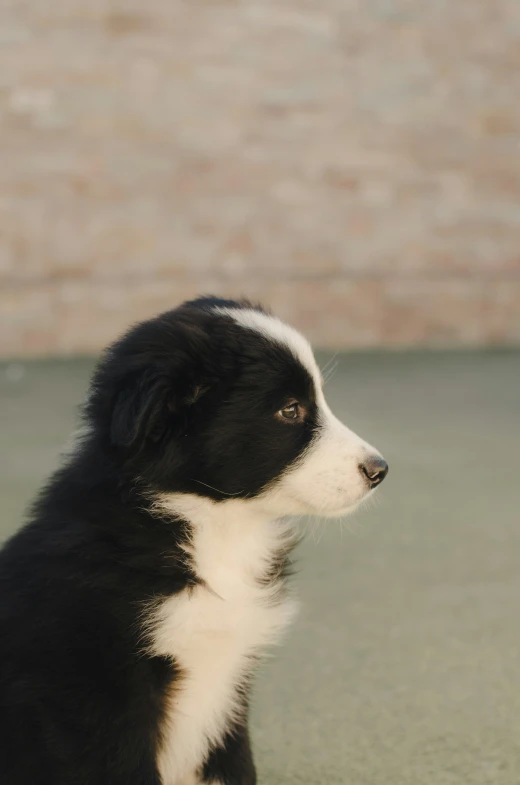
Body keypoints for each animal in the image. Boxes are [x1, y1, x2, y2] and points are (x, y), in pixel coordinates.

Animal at [0, 298, 388, 780]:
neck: (212, 531)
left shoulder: (230, 687)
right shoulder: (102, 701)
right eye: (290, 410)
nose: (379, 470)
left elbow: (236, 769)